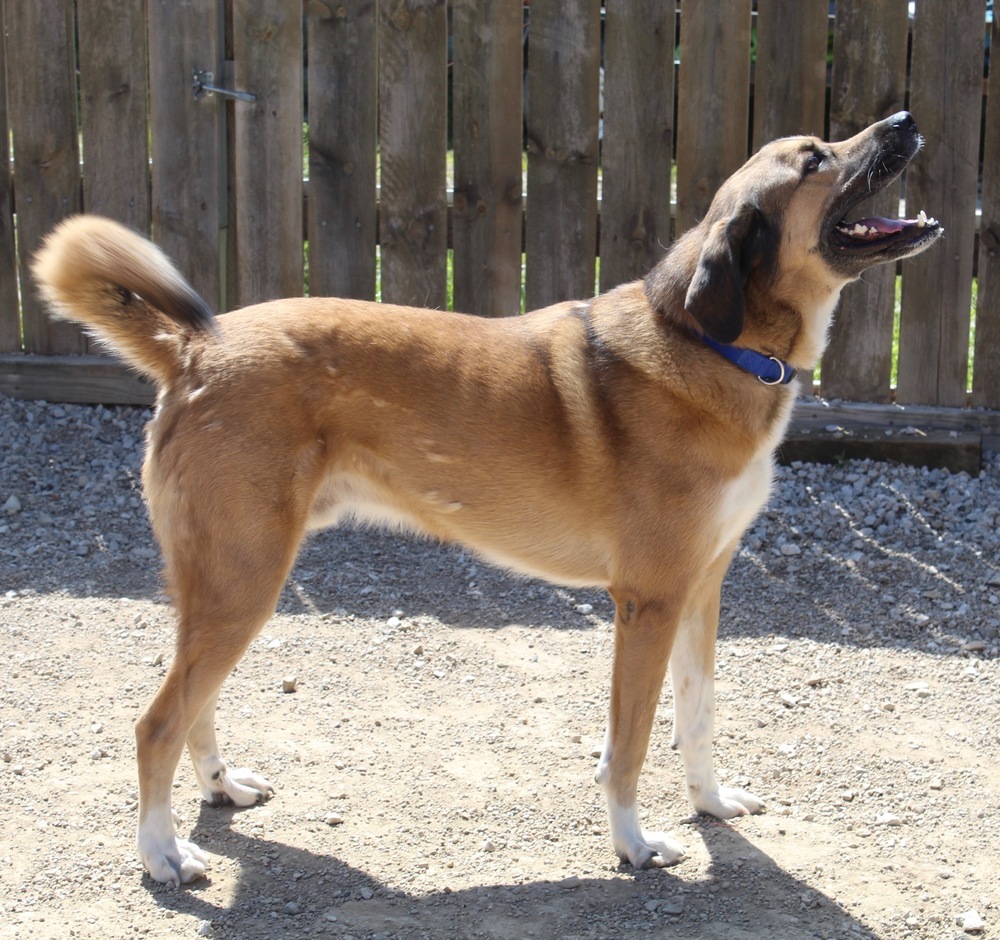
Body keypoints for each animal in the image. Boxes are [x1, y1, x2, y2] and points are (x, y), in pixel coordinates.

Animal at [29, 112, 936, 888]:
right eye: (814, 159)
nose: (904, 120)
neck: (716, 343)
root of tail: (192, 350)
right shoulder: (648, 602)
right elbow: (631, 743)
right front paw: (634, 844)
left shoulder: (702, 590)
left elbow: (698, 715)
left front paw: (710, 804)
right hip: (243, 581)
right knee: (156, 722)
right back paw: (162, 853)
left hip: (229, 589)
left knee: (194, 706)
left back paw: (219, 788)